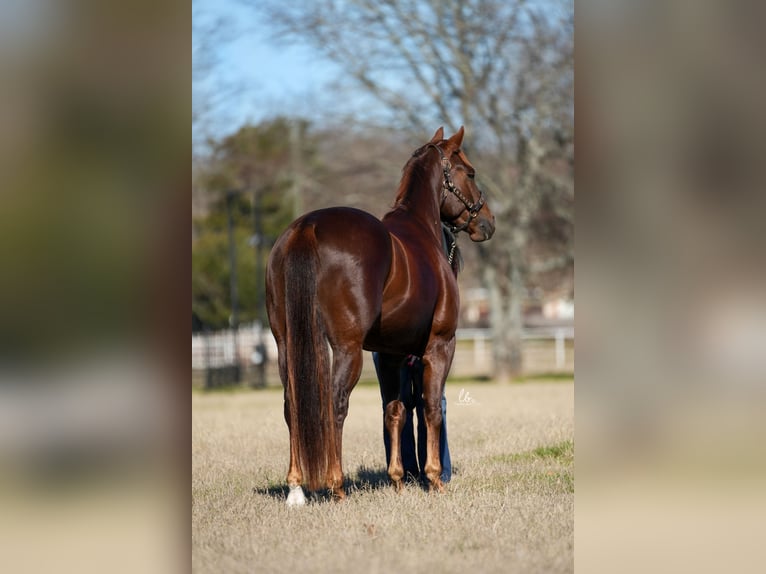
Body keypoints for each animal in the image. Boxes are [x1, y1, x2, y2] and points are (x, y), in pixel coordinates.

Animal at [268, 128, 498, 506]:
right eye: (471, 172)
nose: (487, 222)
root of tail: (307, 226)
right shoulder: (440, 346)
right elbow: (431, 408)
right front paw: (434, 479)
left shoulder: (390, 354)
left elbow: (396, 410)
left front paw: (398, 480)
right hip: (346, 348)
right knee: (335, 403)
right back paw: (337, 485)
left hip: (285, 342)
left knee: (292, 405)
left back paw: (296, 489)